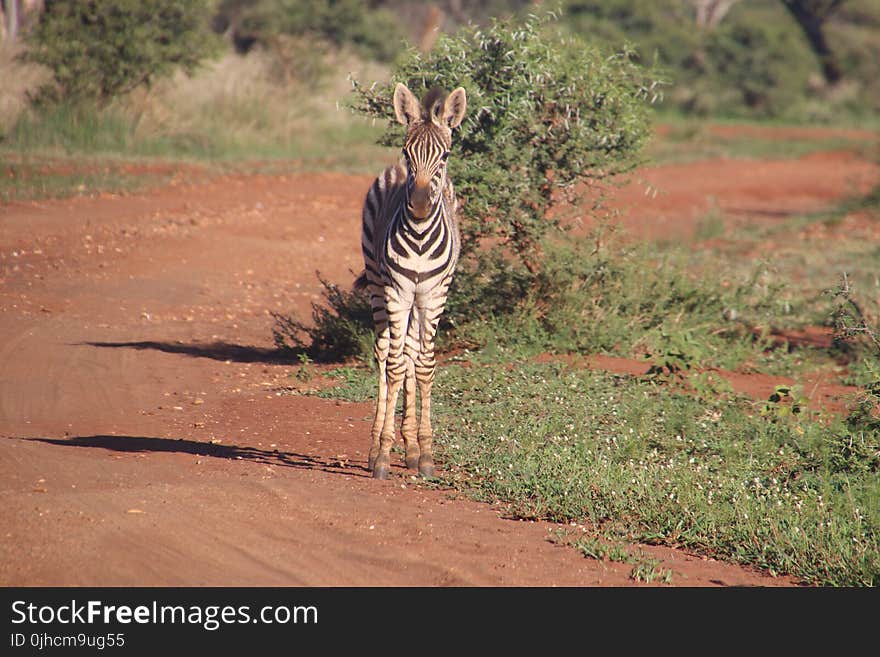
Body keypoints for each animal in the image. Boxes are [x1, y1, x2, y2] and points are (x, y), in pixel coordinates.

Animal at [358, 83, 468, 482]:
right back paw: (378, 445)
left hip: (421, 300)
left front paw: (425, 454)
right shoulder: (397, 292)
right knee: (385, 353)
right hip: (378, 286)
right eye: (408, 152)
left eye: (446, 154)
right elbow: (393, 367)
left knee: (409, 351)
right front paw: (382, 455)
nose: (420, 205)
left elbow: (423, 365)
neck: (420, 235)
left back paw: (411, 449)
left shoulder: (433, 295)